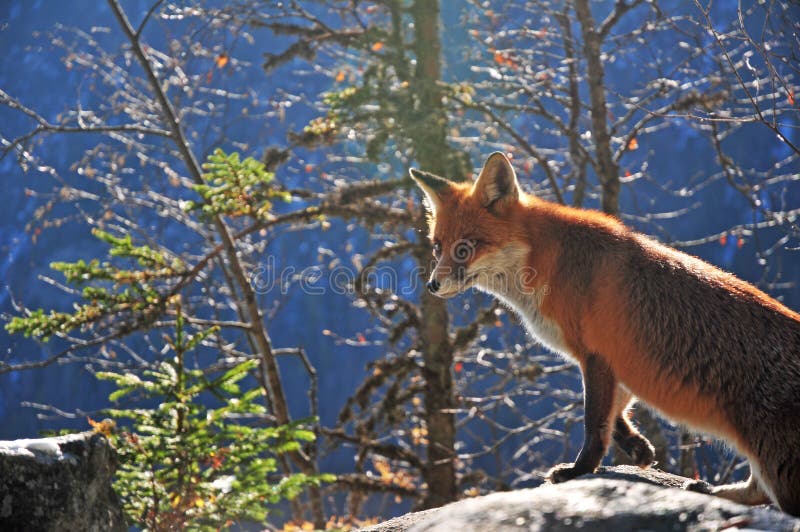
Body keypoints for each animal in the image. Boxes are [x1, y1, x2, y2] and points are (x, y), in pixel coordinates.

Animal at [410, 152, 800, 516]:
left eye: (465, 248)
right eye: (437, 247)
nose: (432, 286)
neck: (547, 262)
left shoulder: (595, 354)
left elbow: (595, 423)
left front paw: (579, 471)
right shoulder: (619, 362)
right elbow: (617, 414)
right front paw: (637, 449)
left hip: (777, 466)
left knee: (772, 497)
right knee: (757, 492)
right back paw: (713, 492)